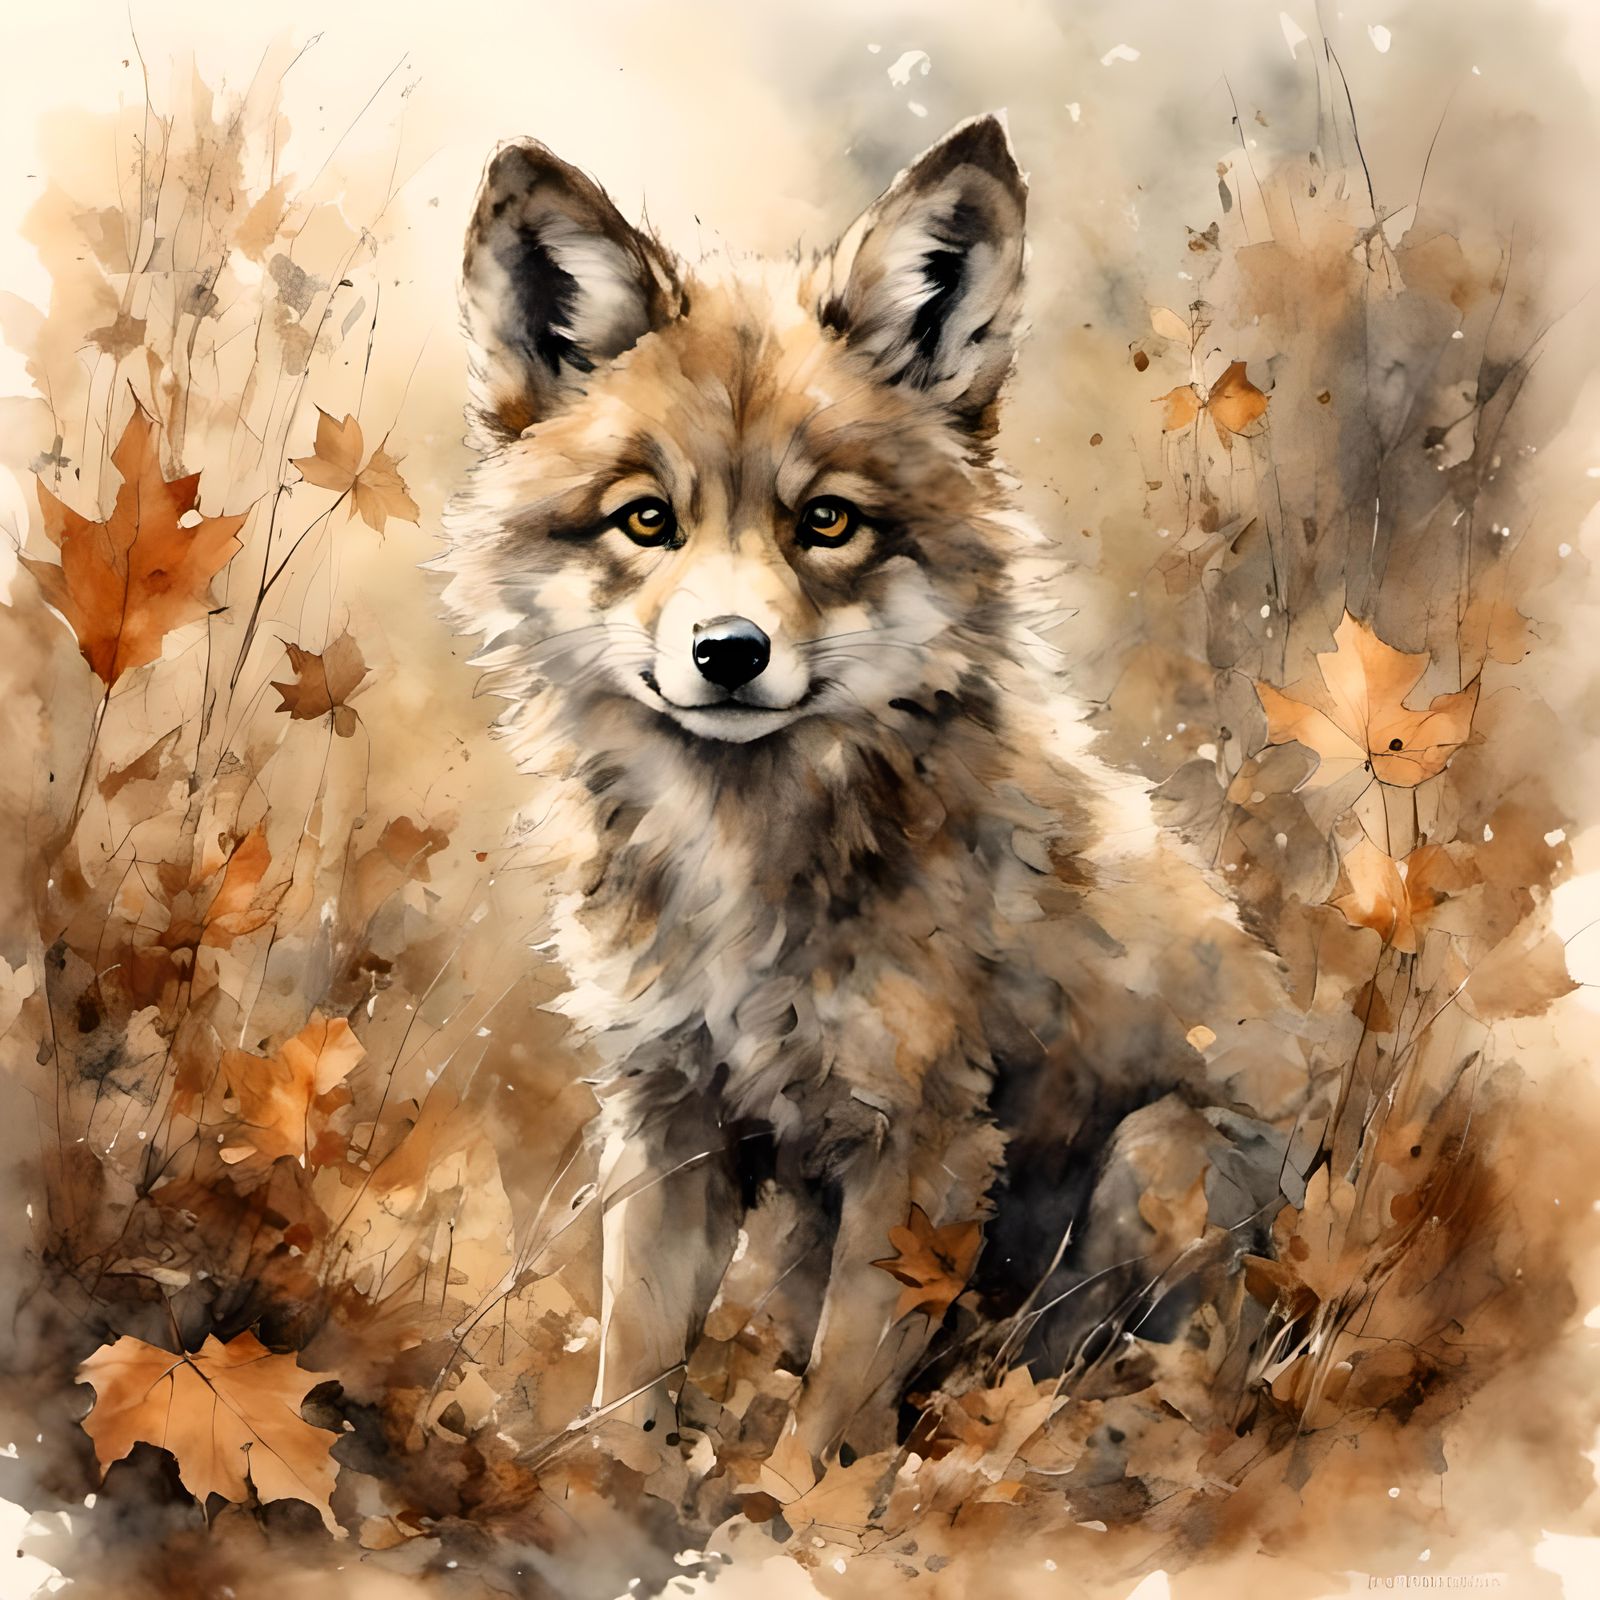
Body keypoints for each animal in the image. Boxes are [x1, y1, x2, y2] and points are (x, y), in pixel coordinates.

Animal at [442, 115, 1297, 1468]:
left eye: (828, 522)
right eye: (647, 520)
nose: (728, 651)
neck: (742, 855)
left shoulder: (923, 1137)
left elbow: (840, 1392)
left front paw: (799, 1508)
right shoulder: (669, 1113)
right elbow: (635, 1354)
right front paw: (611, 1493)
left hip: (1152, 1159)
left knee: (1114, 1366)